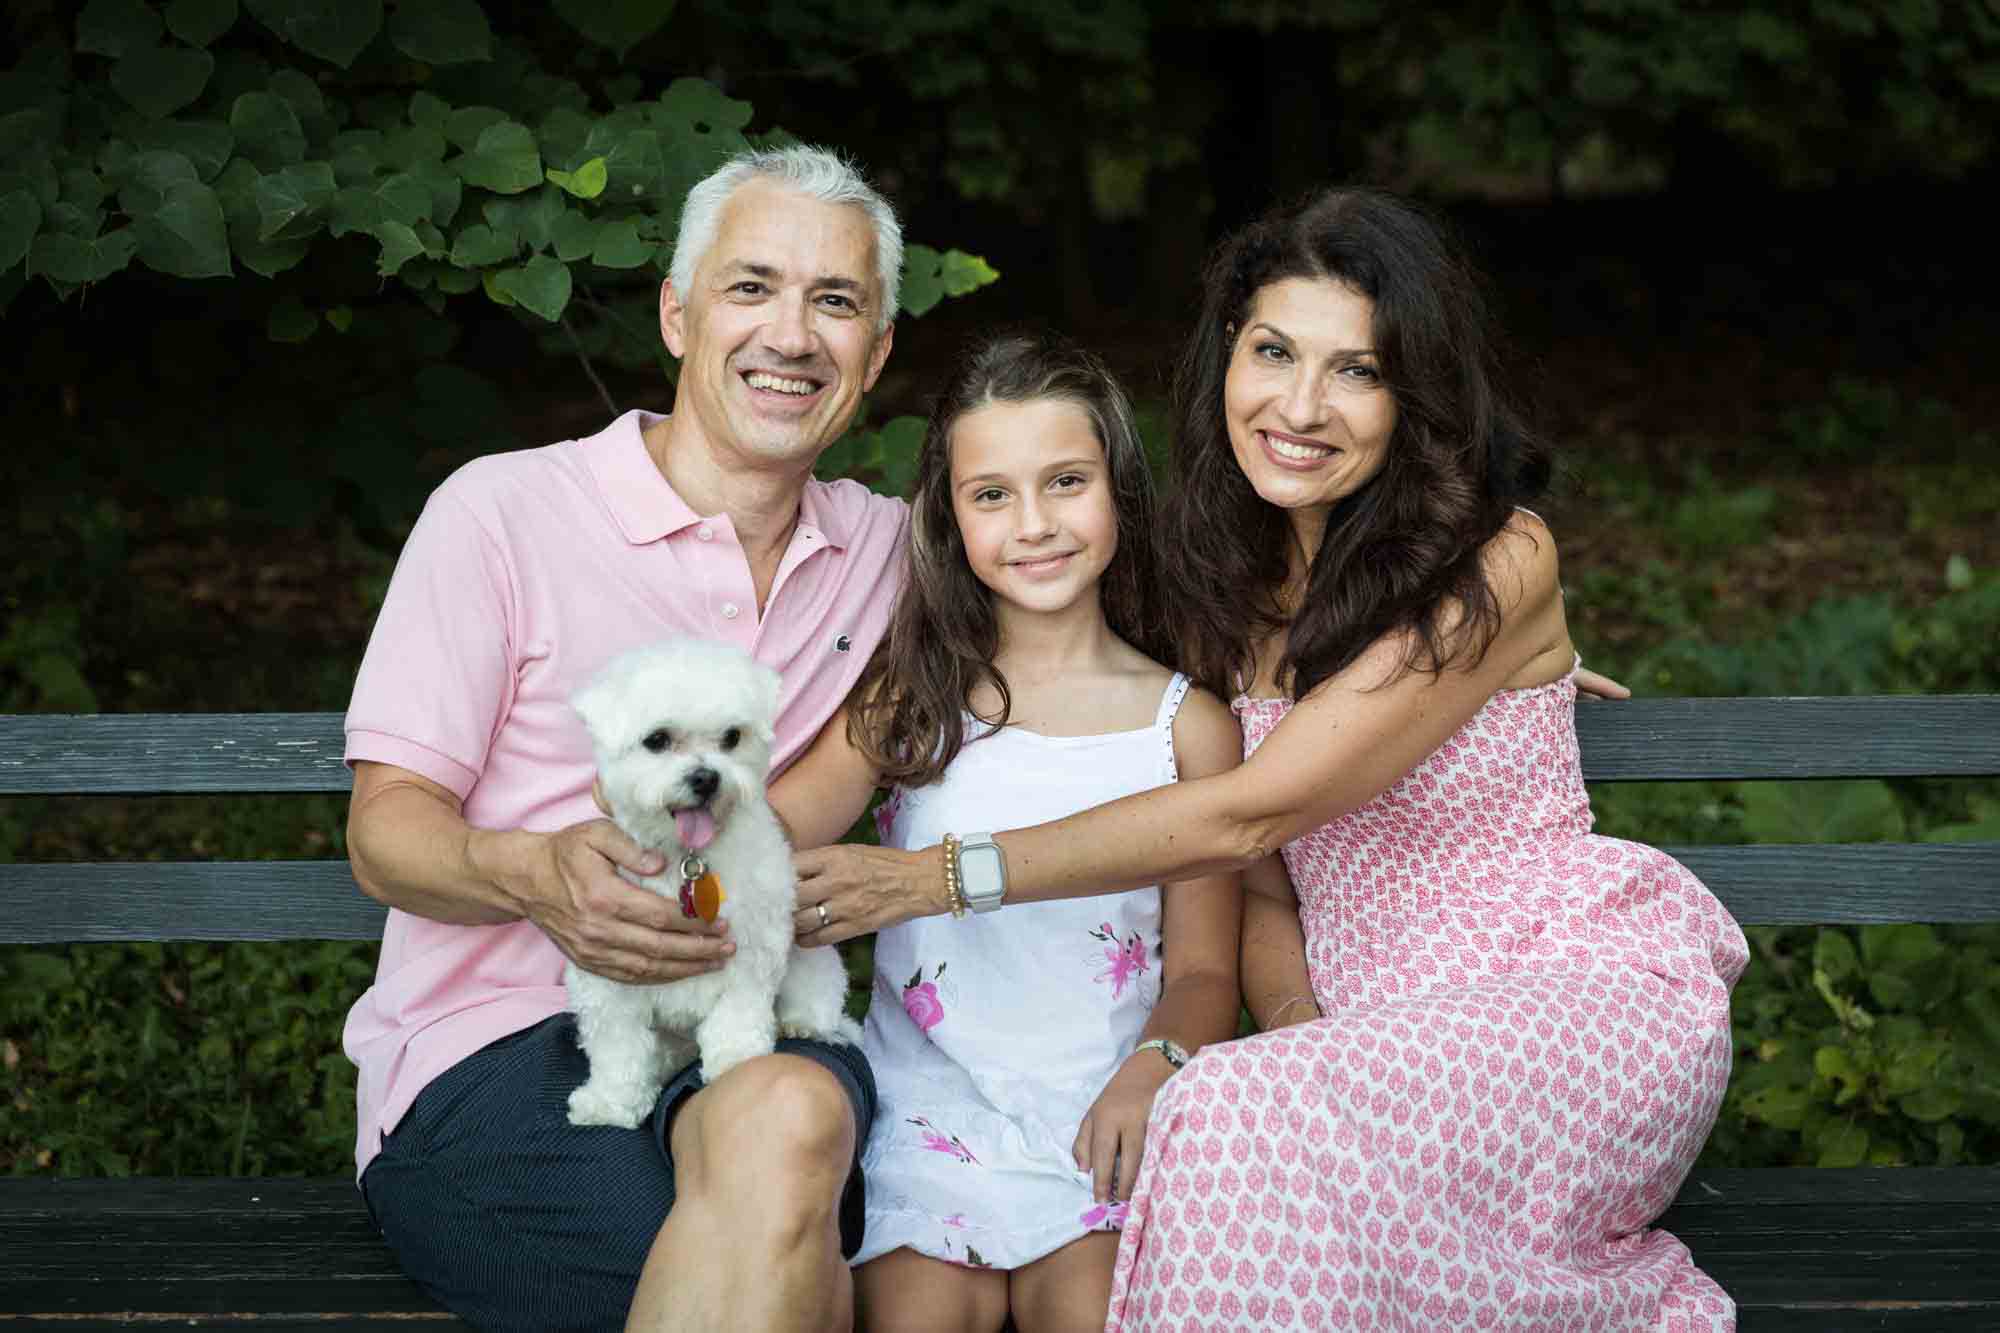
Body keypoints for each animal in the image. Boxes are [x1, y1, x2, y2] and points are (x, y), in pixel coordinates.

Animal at [560, 632, 856, 1120]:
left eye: (732, 737)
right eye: (657, 740)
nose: (705, 778)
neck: (690, 858)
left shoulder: (754, 947)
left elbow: (738, 1012)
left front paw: (737, 1058)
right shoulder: (608, 970)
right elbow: (618, 1047)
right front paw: (612, 1101)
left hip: (810, 960)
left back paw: (803, 1022)